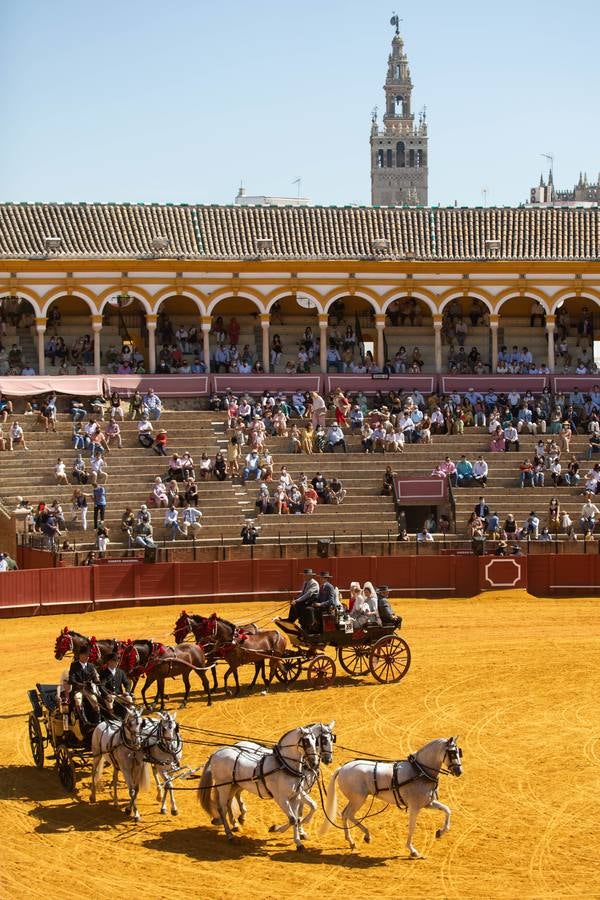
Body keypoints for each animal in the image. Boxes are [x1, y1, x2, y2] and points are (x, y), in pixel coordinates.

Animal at [199, 724, 322, 852]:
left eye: (316, 741)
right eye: (306, 741)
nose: (314, 763)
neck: (283, 765)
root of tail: (216, 753)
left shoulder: (295, 797)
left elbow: (297, 818)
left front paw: (297, 842)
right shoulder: (281, 799)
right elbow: (293, 818)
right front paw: (277, 829)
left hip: (234, 785)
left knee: (229, 802)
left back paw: (237, 824)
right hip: (223, 786)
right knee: (222, 809)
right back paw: (230, 835)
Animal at [322, 740, 462, 856]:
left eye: (459, 752)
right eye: (452, 753)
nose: (459, 771)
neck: (419, 771)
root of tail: (342, 768)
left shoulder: (429, 803)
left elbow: (447, 810)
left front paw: (440, 832)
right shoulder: (414, 807)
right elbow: (412, 827)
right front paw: (412, 850)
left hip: (355, 800)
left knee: (345, 814)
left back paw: (353, 840)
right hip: (358, 799)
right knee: (349, 814)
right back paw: (361, 837)